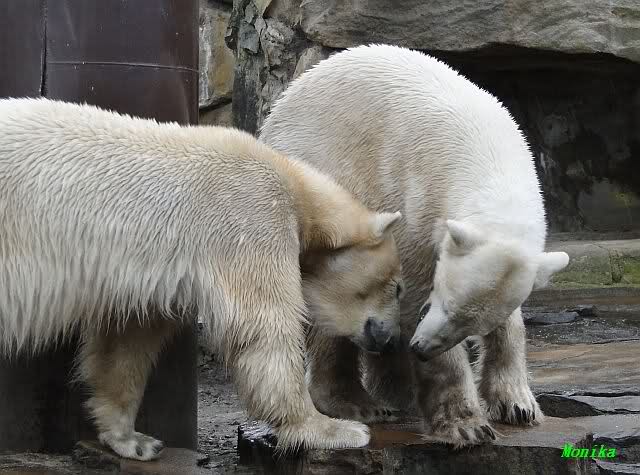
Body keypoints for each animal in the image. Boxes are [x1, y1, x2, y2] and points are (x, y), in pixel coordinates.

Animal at [0, 97, 405, 460]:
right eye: (397, 286)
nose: (389, 337)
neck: (297, 191)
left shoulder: (144, 277)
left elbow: (128, 338)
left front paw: (134, 439)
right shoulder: (252, 219)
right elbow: (263, 327)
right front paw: (336, 429)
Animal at [259, 44, 570, 447]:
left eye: (470, 327)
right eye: (444, 303)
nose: (420, 349)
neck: (489, 159)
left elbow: (508, 320)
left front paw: (518, 404)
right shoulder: (421, 201)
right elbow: (412, 291)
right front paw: (467, 425)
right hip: (318, 177)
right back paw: (356, 402)